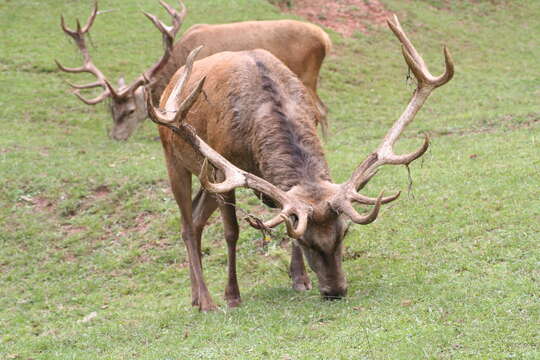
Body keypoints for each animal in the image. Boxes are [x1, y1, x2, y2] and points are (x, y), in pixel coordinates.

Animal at [57, 0, 332, 140]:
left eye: (131, 110)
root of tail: (325, 39)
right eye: (112, 110)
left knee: (320, 111)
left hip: (307, 76)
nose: (115, 136)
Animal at [146, 15, 454, 310]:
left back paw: (195, 297)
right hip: (175, 159)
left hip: (205, 178)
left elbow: (286, 217)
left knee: (197, 217)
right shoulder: (223, 172)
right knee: (187, 225)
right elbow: (231, 232)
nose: (335, 291)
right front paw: (232, 296)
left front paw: (300, 279)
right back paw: (205, 300)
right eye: (307, 241)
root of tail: (171, 83)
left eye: (344, 233)